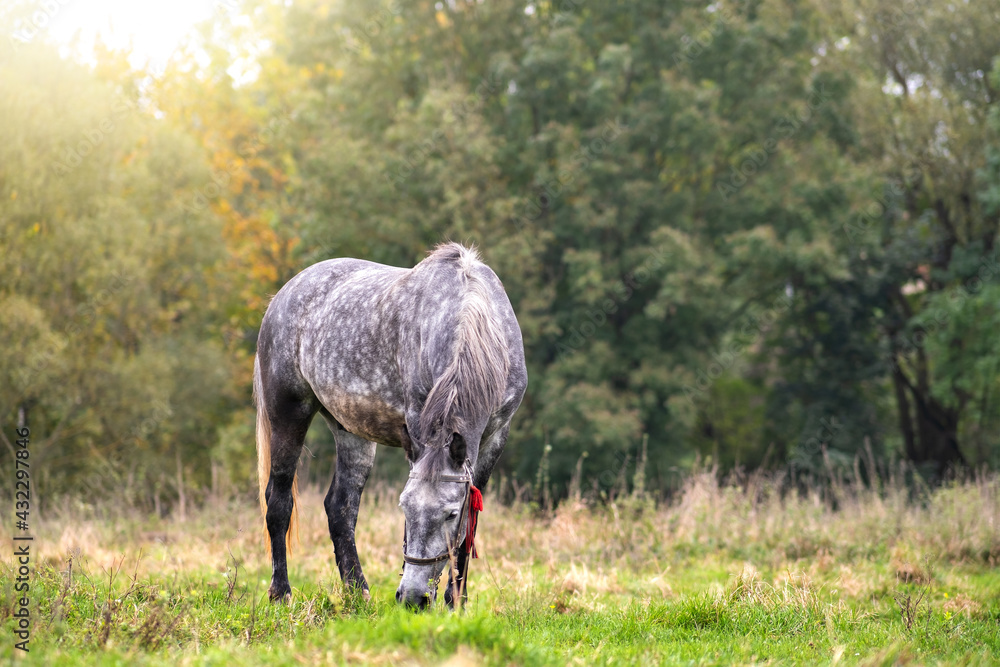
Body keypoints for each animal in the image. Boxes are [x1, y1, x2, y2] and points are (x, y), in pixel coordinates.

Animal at [253, 242, 527, 608]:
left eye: (450, 514)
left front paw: (457, 601)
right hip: (288, 414)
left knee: (340, 508)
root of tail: (283, 295)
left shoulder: (495, 436)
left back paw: (358, 592)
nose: (412, 598)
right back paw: (281, 593)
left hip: (351, 433)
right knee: (279, 502)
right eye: (405, 510)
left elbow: (471, 524)